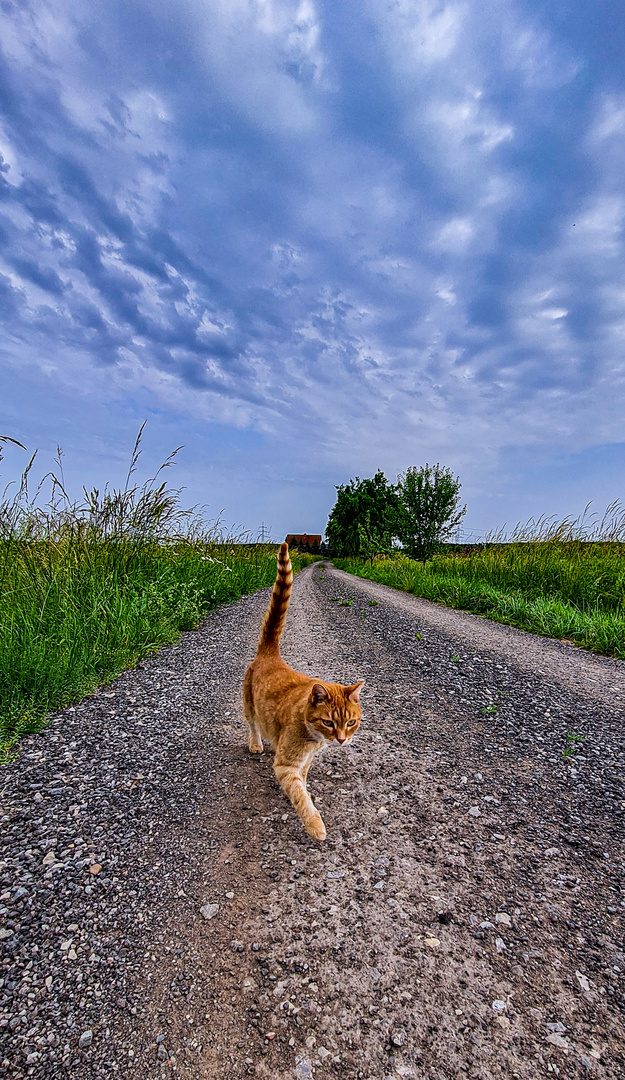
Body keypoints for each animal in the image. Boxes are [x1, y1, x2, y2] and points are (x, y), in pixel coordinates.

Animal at [242, 544, 364, 838]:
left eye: (351, 723)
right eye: (329, 722)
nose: (341, 740)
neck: (314, 739)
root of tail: (271, 654)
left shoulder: (307, 759)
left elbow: (303, 779)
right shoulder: (287, 764)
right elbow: (300, 795)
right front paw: (315, 825)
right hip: (248, 705)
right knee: (252, 724)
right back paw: (256, 744)